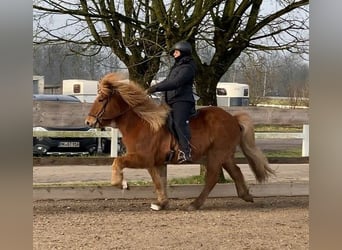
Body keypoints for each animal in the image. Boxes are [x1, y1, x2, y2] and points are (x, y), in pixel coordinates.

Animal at [85, 73, 276, 211]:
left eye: (101, 99)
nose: (88, 122)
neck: (143, 123)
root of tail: (233, 119)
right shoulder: (154, 162)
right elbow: (158, 181)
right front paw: (161, 203)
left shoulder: (142, 158)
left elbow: (118, 162)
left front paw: (122, 184)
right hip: (224, 155)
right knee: (236, 171)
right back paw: (246, 195)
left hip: (216, 154)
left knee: (212, 177)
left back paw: (195, 204)